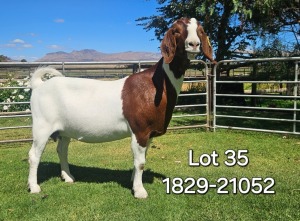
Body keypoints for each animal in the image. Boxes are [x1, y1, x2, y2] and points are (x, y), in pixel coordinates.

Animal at [28, 16, 214, 197]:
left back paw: (68, 177)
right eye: (176, 31)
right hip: (42, 125)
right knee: (34, 155)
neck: (156, 85)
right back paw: (34, 187)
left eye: (200, 30)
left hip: (65, 129)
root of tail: (39, 85)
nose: (194, 44)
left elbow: (142, 158)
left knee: (62, 150)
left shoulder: (149, 132)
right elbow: (140, 162)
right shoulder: (140, 129)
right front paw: (139, 191)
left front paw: (133, 181)